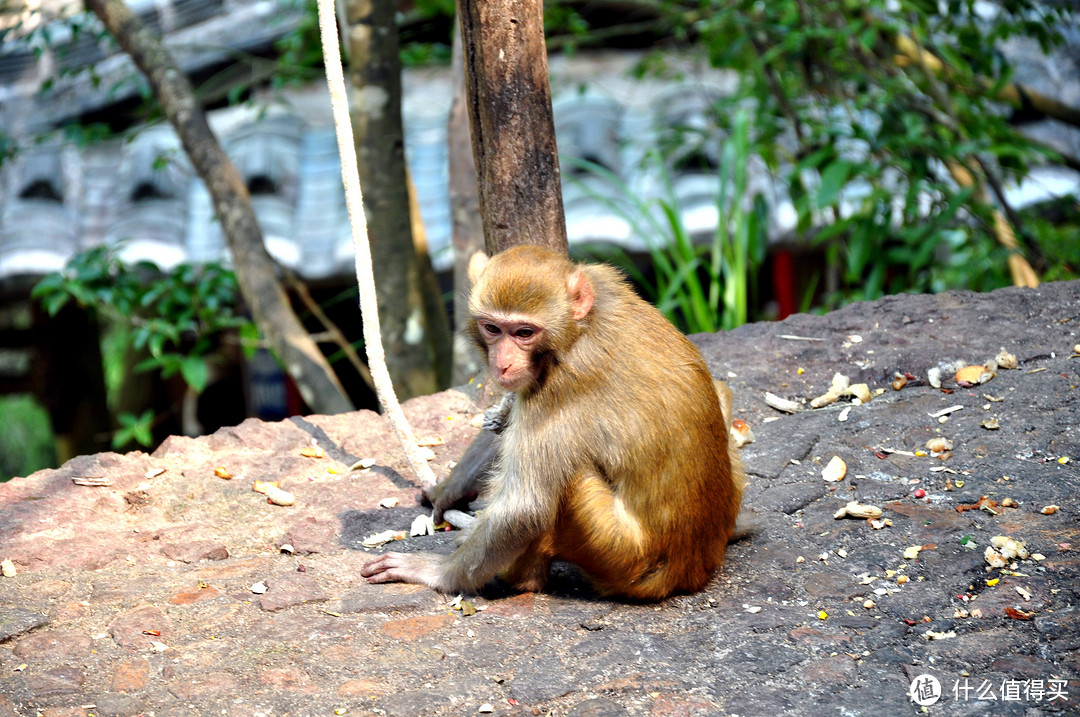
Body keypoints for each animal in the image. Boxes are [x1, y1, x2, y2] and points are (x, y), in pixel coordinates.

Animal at [360, 245, 743, 600]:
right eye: (493, 328)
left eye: (524, 332)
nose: (502, 364)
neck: (578, 328)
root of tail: (687, 571)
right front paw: (448, 490)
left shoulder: (560, 386)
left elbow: (524, 507)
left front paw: (435, 572)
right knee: (722, 392)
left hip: (615, 552)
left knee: (567, 479)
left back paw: (521, 578)